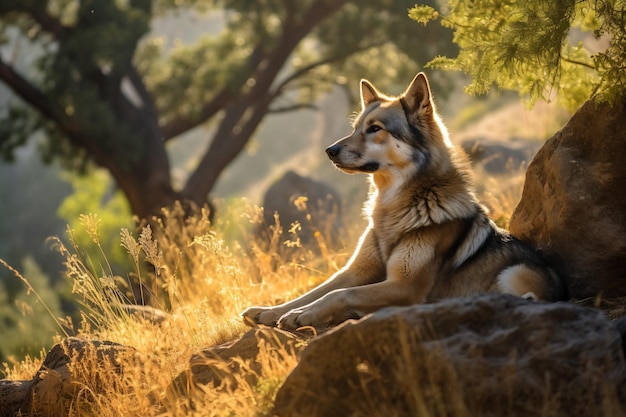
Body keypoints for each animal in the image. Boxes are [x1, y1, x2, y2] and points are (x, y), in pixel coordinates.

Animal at [241, 72, 564, 332]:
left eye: (375, 129)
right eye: (355, 128)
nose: (329, 150)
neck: (394, 207)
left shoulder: (404, 285)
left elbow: (339, 294)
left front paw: (300, 315)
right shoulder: (355, 271)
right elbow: (315, 292)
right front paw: (271, 311)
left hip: (515, 271)